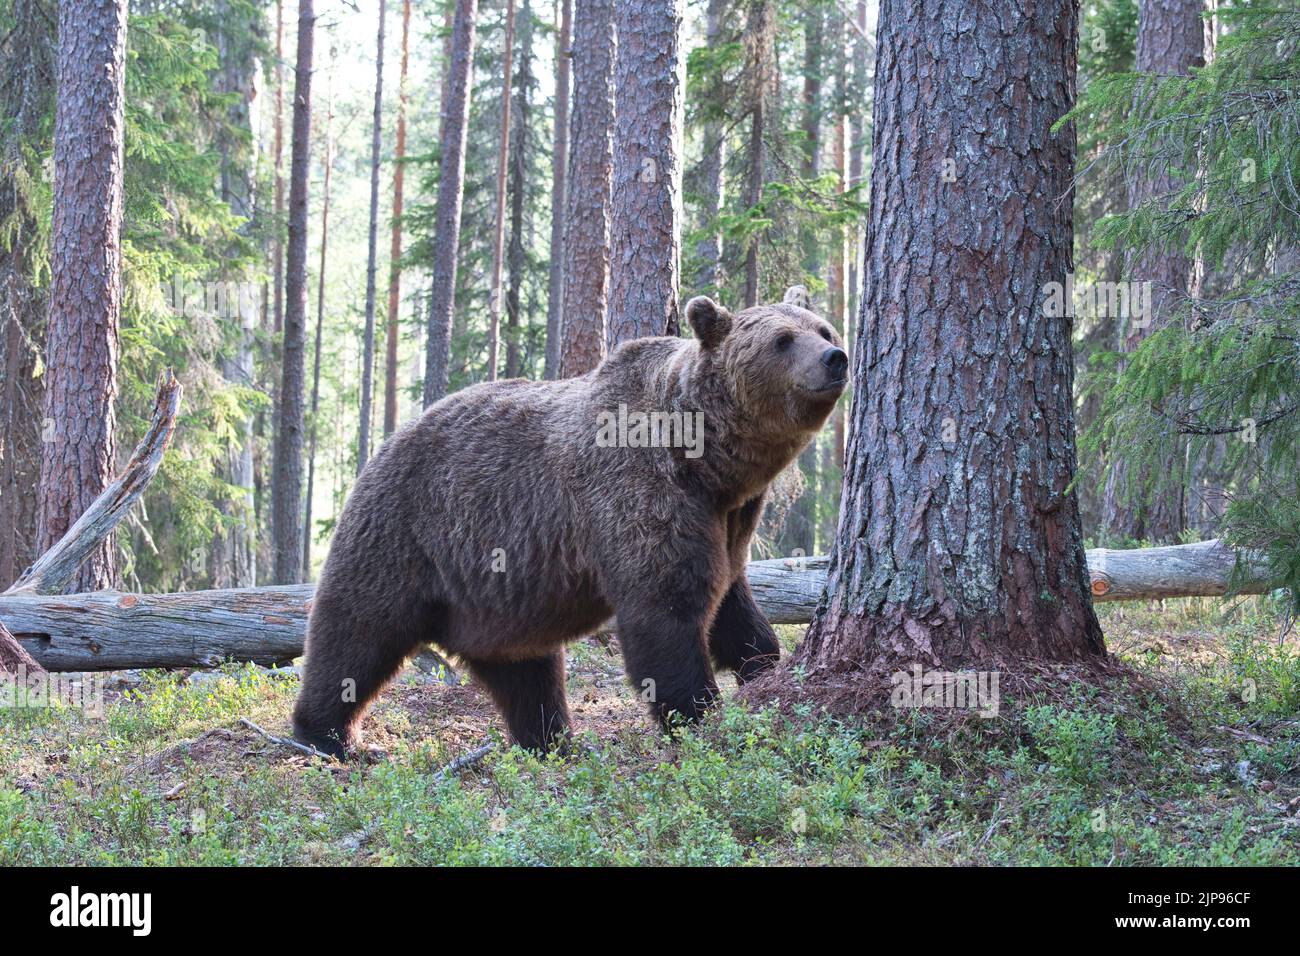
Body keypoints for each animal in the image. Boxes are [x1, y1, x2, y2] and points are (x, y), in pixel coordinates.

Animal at [289, 287, 847, 759]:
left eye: (823, 329)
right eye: (782, 340)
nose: (835, 358)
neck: (706, 461)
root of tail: (386, 441)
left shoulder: (726, 519)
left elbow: (732, 602)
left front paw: (763, 665)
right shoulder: (639, 491)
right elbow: (664, 608)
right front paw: (699, 716)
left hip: (496, 597)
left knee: (525, 669)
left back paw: (549, 740)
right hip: (403, 531)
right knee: (356, 632)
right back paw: (328, 735)